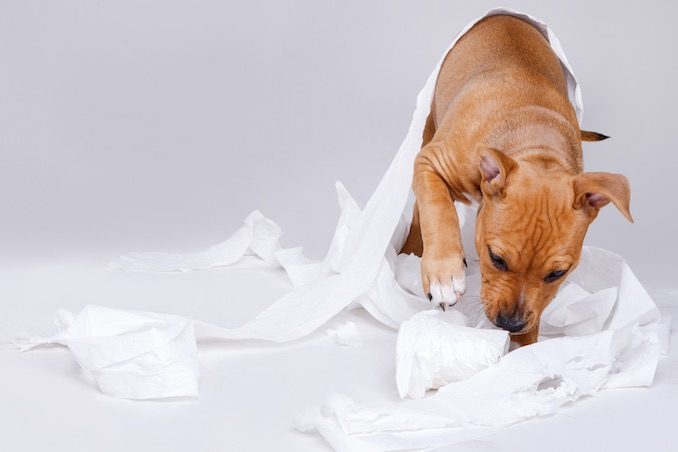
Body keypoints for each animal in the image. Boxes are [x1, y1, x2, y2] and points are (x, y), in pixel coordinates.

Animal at [402, 15, 636, 346]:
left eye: (557, 274)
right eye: (496, 258)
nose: (511, 324)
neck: (536, 144)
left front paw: (523, 350)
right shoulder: (430, 161)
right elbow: (438, 208)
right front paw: (445, 274)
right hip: (428, 132)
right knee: (421, 208)